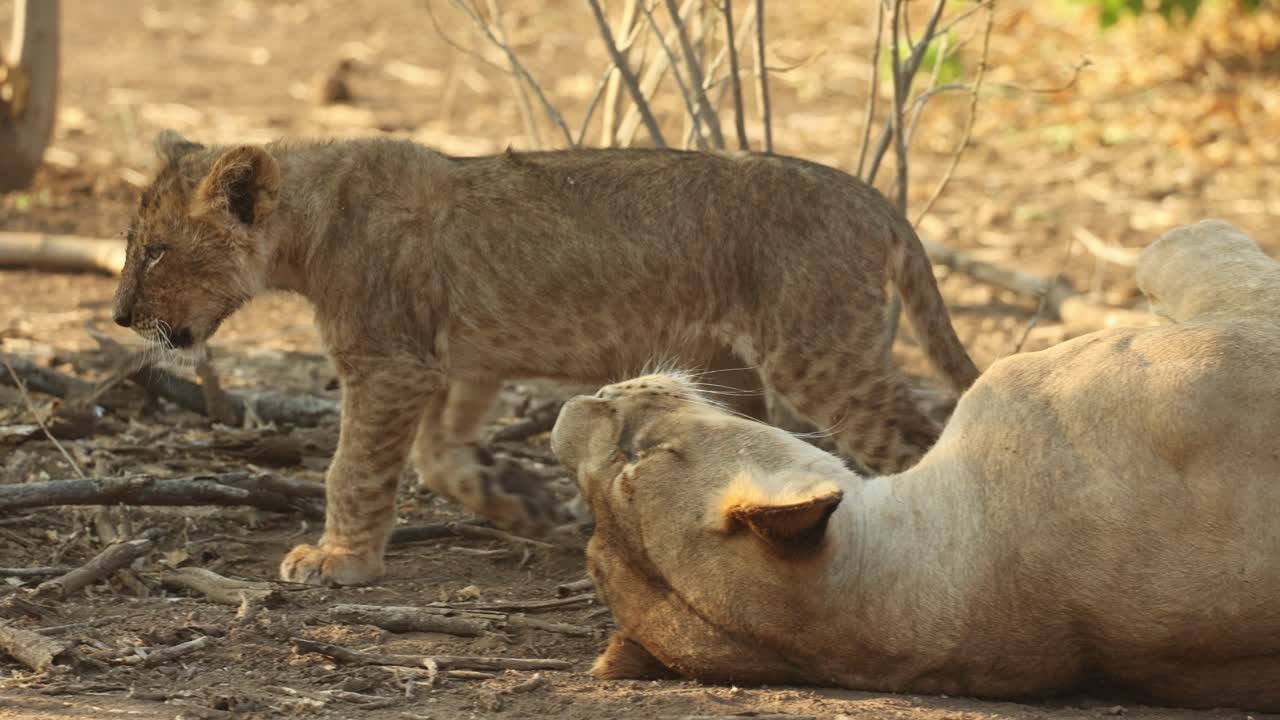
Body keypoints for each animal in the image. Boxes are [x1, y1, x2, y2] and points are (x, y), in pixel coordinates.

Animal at [111, 130, 977, 586]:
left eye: (155, 252)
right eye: (133, 246)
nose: (119, 316)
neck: (311, 216)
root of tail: (873, 200)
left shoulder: (389, 361)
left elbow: (353, 468)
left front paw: (337, 560)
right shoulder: (458, 361)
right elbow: (437, 456)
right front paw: (519, 502)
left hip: (816, 349)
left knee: (919, 440)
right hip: (731, 368)